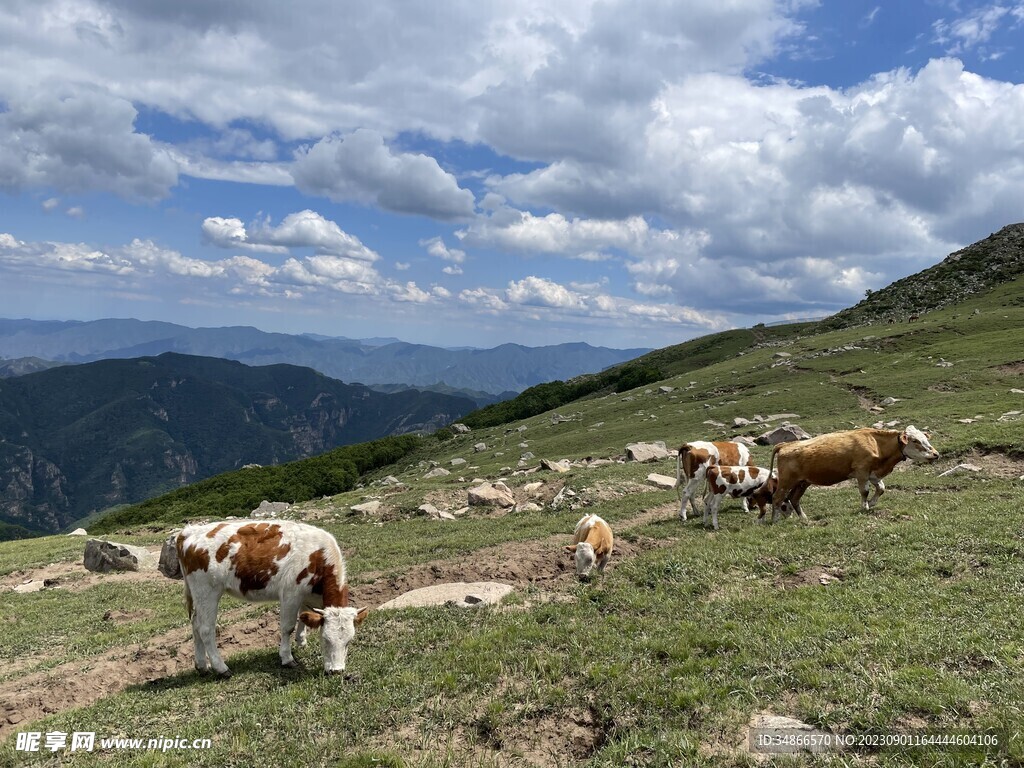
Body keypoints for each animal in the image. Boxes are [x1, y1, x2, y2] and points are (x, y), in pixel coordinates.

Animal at [176, 520, 368, 675]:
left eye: (349, 641)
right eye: (325, 640)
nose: (336, 671)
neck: (318, 557)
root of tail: (188, 532)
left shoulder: (306, 594)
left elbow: (303, 616)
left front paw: (301, 640)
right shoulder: (291, 593)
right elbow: (287, 627)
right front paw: (287, 658)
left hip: (199, 595)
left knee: (195, 624)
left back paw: (202, 666)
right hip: (207, 591)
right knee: (206, 629)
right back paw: (221, 668)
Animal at [765, 423, 937, 528]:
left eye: (925, 438)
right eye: (915, 440)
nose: (936, 454)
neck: (876, 443)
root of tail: (785, 445)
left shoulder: (872, 473)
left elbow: (881, 488)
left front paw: (872, 503)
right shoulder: (862, 471)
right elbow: (864, 491)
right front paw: (865, 506)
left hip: (802, 482)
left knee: (793, 499)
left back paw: (804, 518)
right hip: (786, 481)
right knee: (777, 498)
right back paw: (775, 520)